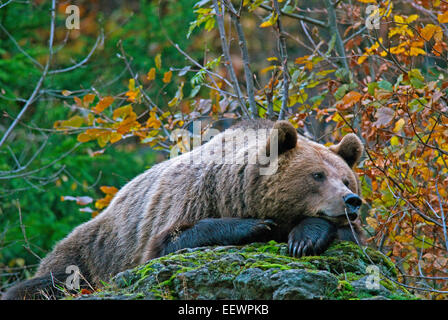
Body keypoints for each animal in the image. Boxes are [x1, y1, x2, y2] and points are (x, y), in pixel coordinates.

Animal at [1, 118, 362, 300]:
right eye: (317, 175)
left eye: (346, 178)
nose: (351, 200)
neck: (238, 193)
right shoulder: (187, 200)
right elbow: (168, 243)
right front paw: (254, 225)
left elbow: (347, 235)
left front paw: (304, 238)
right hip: (88, 253)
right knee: (43, 283)